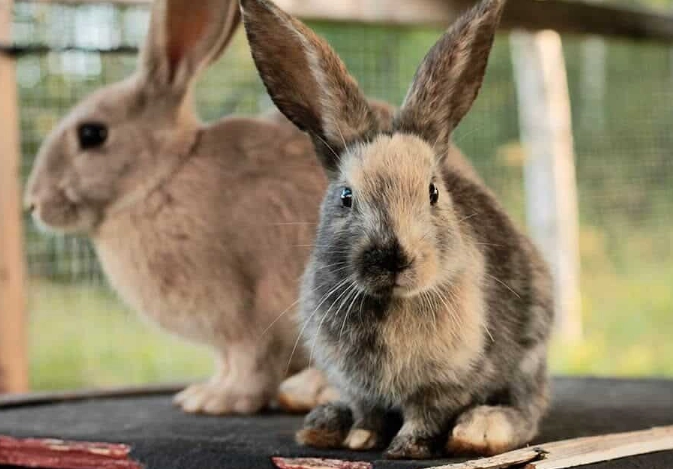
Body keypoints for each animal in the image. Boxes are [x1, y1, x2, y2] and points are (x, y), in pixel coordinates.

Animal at [23, 0, 347, 415]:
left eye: (92, 134)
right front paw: (202, 393)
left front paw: (219, 401)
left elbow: (251, 361)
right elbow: (227, 362)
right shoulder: (227, 338)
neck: (162, 178)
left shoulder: (249, 316)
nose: (33, 203)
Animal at [241, 0, 554, 459]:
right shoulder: (358, 386)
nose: (393, 258)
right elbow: (369, 412)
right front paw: (361, 439)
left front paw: (406, 449)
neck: (390, 304)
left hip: (529, 356)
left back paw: (479, 430)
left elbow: (426, 415)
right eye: (346, 196)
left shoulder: (443, 384)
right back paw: (325, 423)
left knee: (526, 407)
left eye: (433, 192)